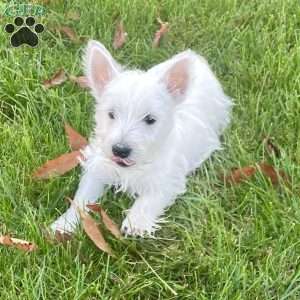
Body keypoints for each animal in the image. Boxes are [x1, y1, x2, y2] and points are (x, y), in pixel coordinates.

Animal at [50, 39, 232, 237]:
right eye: (111, 114)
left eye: (150, 119)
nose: (120, 150)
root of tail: (199, 60)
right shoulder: (98, 166)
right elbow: (82, 197)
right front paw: (64, 224)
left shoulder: (168, 179)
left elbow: (150, 199)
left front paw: (135, 222)